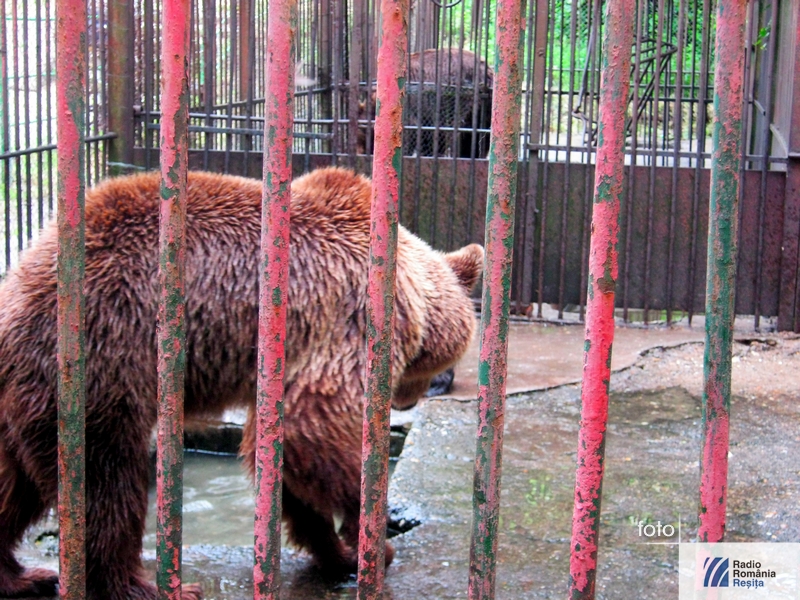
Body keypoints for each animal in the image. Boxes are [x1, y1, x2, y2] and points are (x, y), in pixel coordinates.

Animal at [0, 166, 483, 599]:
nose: (408, 402)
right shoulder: (343, 320)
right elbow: (313, 432)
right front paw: (371, 538)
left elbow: (284, 454)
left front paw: (336, 553)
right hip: (101, 360)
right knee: (105, 479)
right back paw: (147, 586)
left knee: (15, 483)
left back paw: (23, 576)